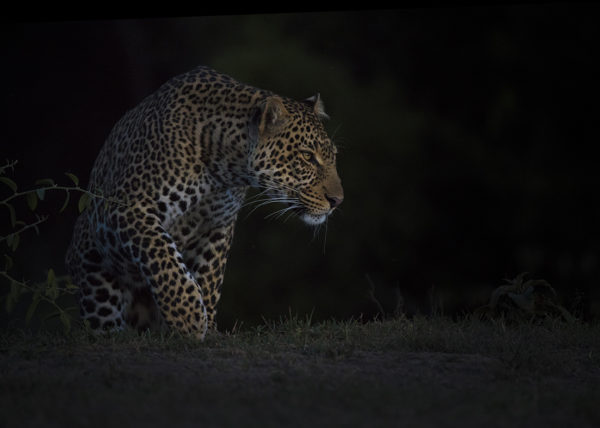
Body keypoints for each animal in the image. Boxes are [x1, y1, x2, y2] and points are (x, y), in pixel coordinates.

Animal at [63, 67, 344, 340]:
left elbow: (209, 277)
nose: (337, 201)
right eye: (307, 156)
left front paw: (206, 324)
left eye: (332, 156)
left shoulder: (217, 226)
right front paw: (188, 318)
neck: (224, 167)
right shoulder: (127, 208)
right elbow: (163, 257)